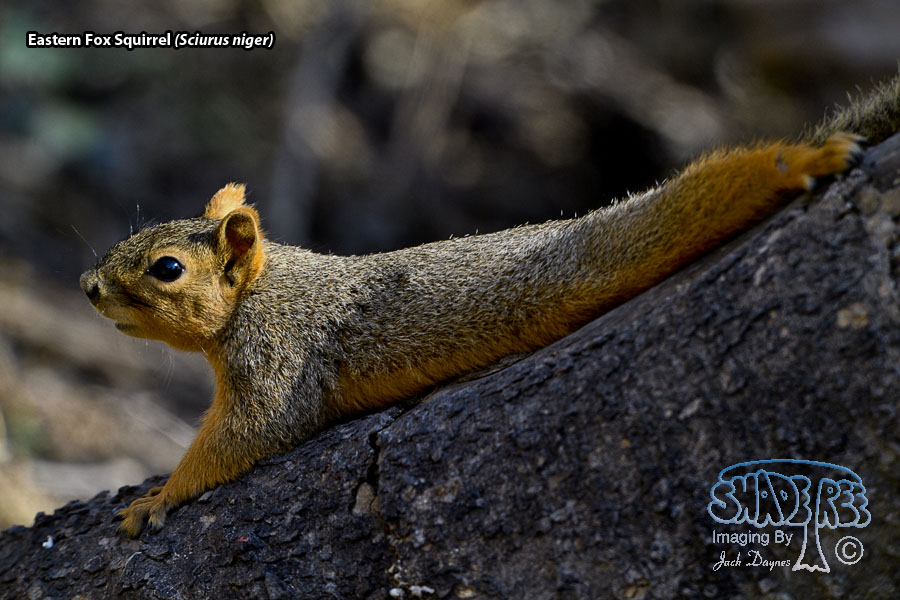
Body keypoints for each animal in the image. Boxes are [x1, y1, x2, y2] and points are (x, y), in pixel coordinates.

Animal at [79, 73, 900, 537]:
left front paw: (159, 496)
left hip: (603, 251)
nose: (87, 287)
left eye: (167, 268)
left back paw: (800, 160)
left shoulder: (277, 358)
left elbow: (246, 434)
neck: (264, 292)